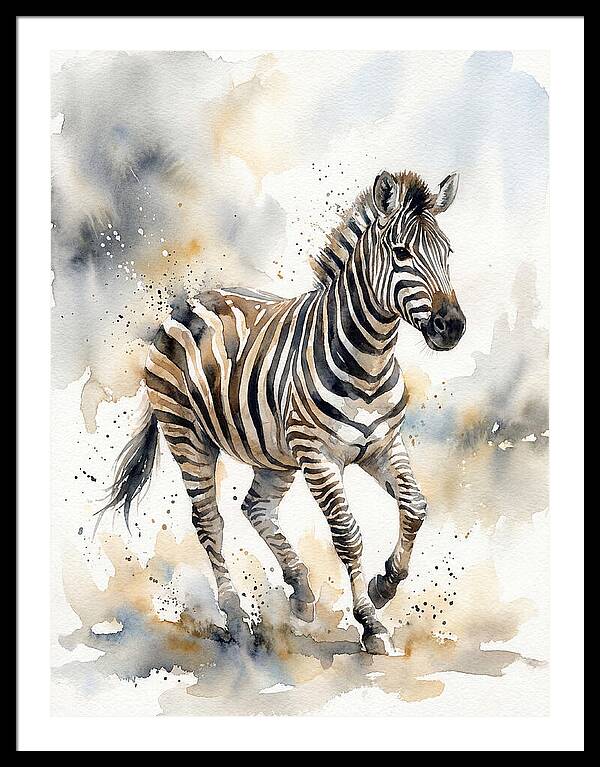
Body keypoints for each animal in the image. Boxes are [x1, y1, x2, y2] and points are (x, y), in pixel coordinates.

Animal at [100, 169, 466, 655]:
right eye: (401, 253)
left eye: (448, 253)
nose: (453, 327)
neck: (369, 361)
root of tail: (190, 302)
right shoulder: (318, 455)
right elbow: (348, 534)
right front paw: (370, 622)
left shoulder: (383, 445)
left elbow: (415, 506)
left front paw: (385, 584)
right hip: (189, 437)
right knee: (209, 521)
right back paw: (235, 618)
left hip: (273, 453)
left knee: (255, 507)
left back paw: (301, 591)